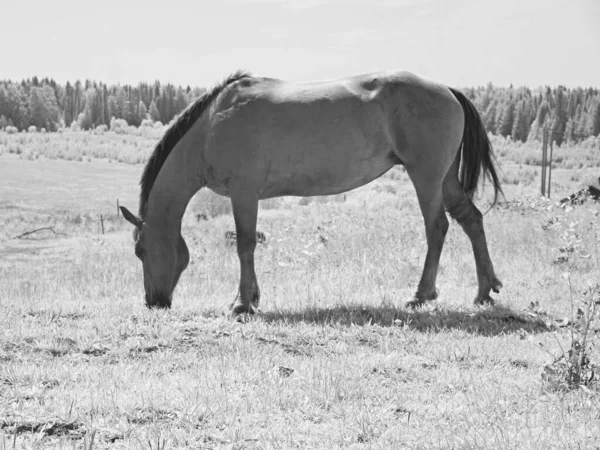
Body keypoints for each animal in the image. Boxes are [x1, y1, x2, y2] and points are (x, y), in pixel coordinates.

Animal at [119, 71, 504, 316]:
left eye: (140, 251)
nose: (153, 302)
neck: (211, 126)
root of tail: (447, 90)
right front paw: (251, 298)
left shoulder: (244, 193)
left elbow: (245, 245)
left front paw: (242, 304)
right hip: (444, 179)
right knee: (471, 220)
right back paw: (484, 290)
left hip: (425, 176)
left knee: (437, 227)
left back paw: (421, 295)